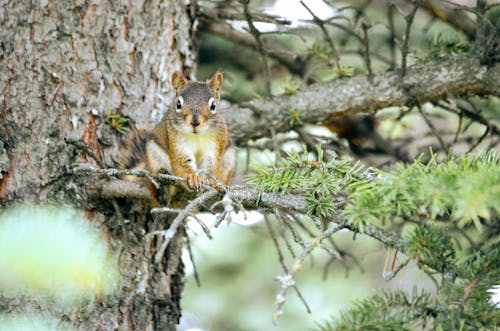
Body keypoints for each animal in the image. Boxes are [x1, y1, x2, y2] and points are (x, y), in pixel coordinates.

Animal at [120, 71, 234, 204]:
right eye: (178, 104)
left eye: (213, 105)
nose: (195, 122)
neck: (197, 136)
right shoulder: (176, 141)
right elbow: (182, 161)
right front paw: (193, 177)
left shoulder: (217, 142)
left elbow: (211, 165)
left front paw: (213, 183)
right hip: (153, 155)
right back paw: (163, 188)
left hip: (228, 159)